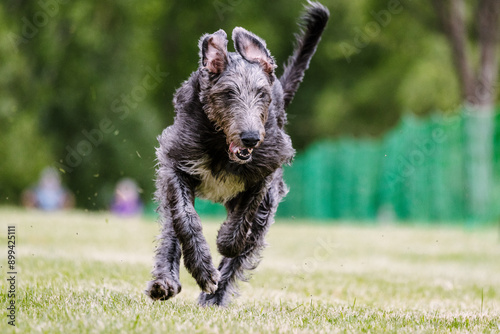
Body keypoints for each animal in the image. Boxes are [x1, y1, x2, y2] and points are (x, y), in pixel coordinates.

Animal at [146, 1, 330, 306]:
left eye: (262, 93)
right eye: (228, 93)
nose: (251, 138)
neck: (221, 146)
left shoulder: (265, 172)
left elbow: (246, 215)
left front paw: (227, 241)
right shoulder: (176, 163)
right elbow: (184, 218)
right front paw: (202, 269)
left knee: (246, 245)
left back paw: (214, 296)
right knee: (172, 229)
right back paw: (166, 281)